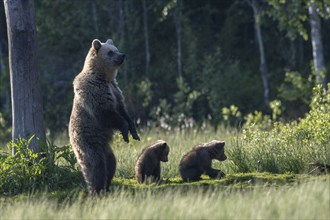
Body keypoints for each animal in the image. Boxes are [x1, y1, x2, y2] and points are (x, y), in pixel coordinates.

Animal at [69, 38, 139, 193]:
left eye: (116, 49)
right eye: (110, 52)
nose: (122, 55)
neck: (104, 77)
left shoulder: (115, 90)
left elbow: (123, 111)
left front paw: (134, 132)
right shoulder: (95, 91)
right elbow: (107, 113)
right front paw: (125, 131)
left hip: (105, 147)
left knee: (111, 162)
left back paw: (107, 186)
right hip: (88, 141)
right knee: (96, 165)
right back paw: (97, 189)